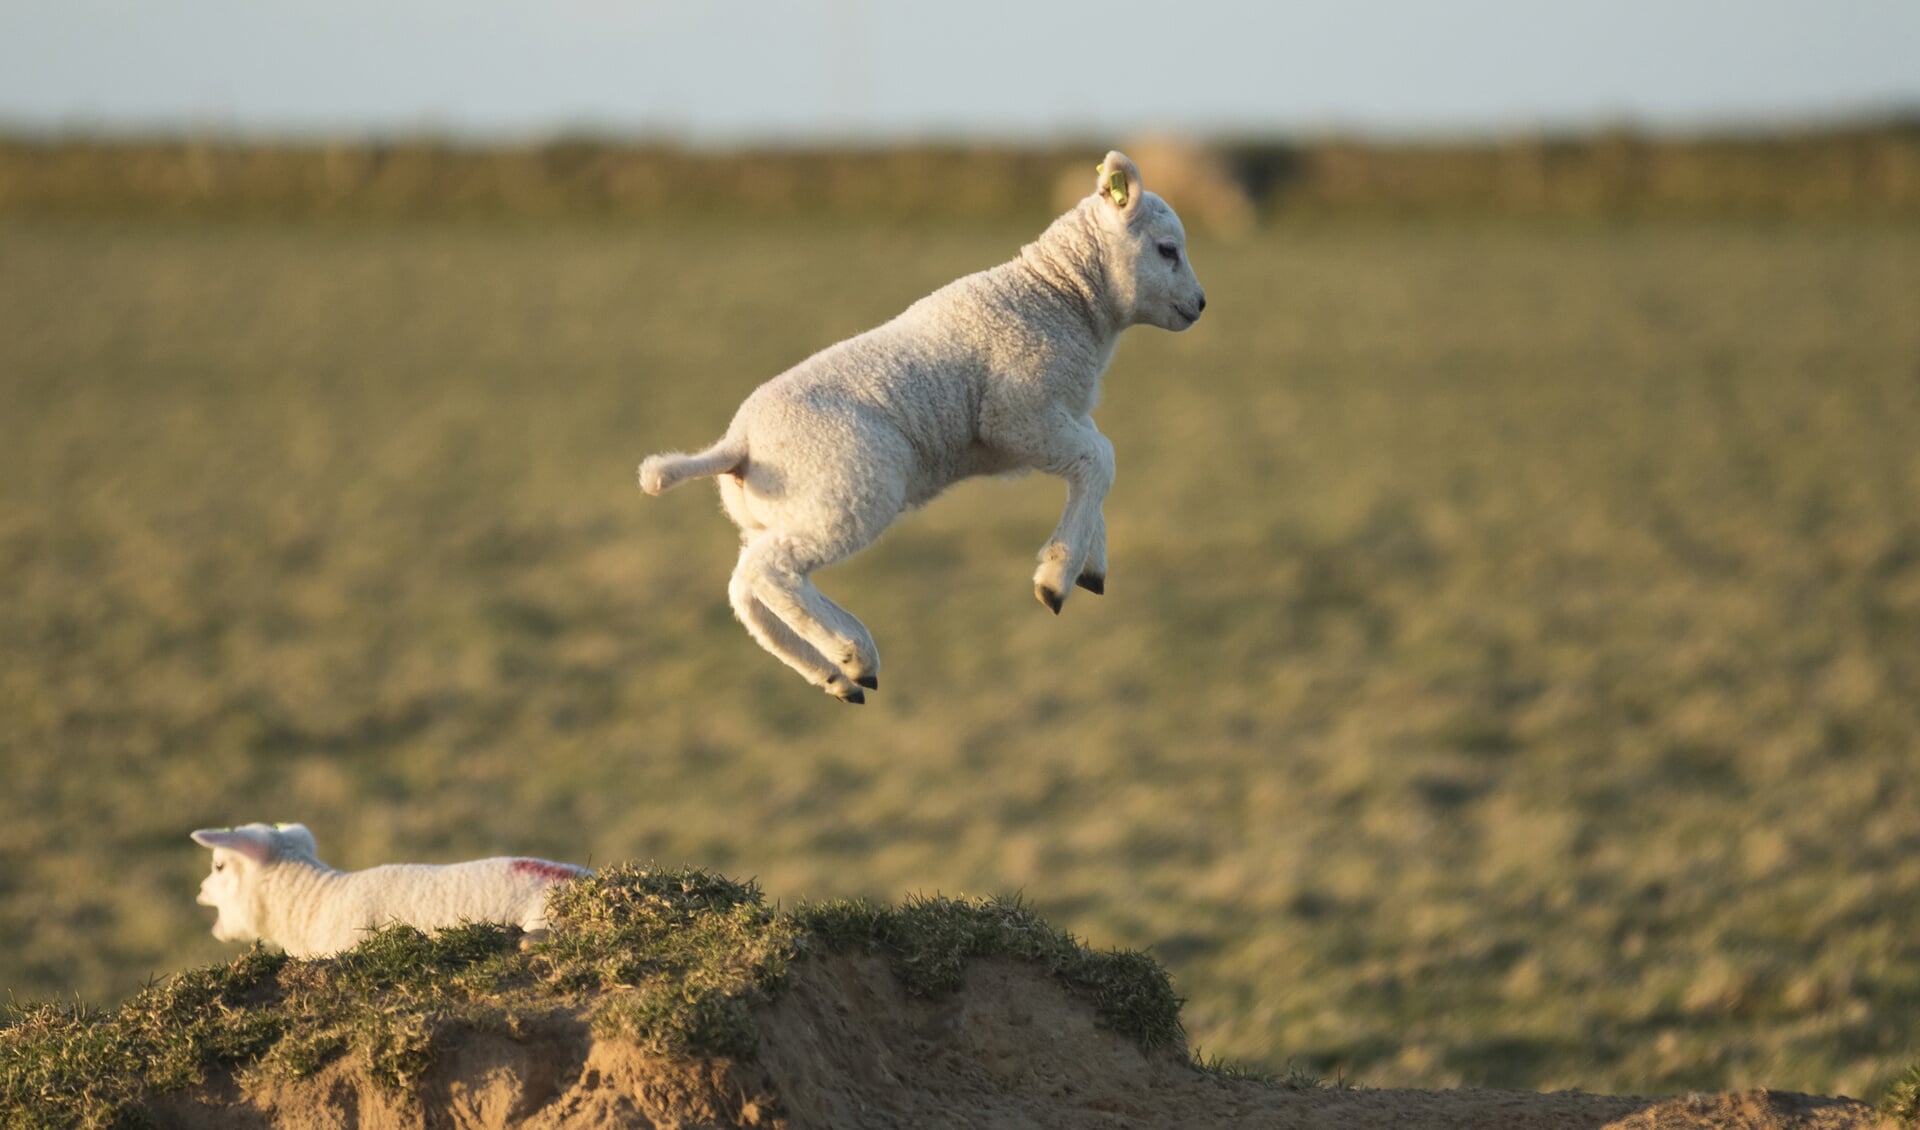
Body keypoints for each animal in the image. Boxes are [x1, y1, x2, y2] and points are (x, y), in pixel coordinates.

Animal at [637, 147, 1205, 694]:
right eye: (1167, 250)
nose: (1200, 305)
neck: (1059, 298)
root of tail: (737, 442)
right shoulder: (1018, 416)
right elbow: (1101, 457)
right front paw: (1056, 576)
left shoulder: (1054, 417)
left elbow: (1096, 460)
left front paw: (1089, 563)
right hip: (851, 489)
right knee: (770, 571)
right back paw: (853, 654)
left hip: (779, 512)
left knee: (745, 586)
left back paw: (836, 677)